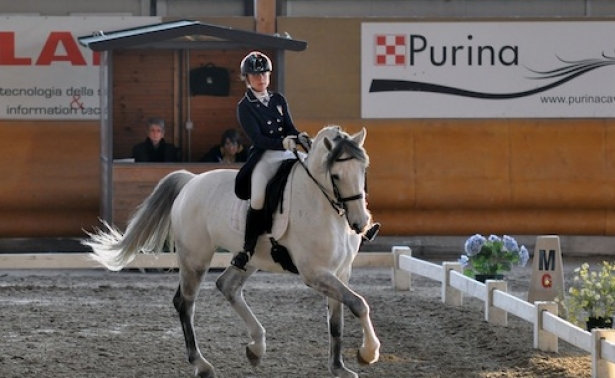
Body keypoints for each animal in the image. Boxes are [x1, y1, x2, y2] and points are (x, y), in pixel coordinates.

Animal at [82, 126, 380, 378]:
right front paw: (368, 353)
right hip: (195, 258)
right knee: (185, 302)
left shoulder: (339, 271)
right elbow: (358, 304)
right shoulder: (315, 273)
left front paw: (339, 367)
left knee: (227, 286)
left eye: (364, 171)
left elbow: (337, 320)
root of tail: (191, 181)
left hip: (249, 258)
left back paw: (256, 348)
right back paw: (202, 364)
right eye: (336, 175)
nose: (360, 223)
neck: (322, 204)